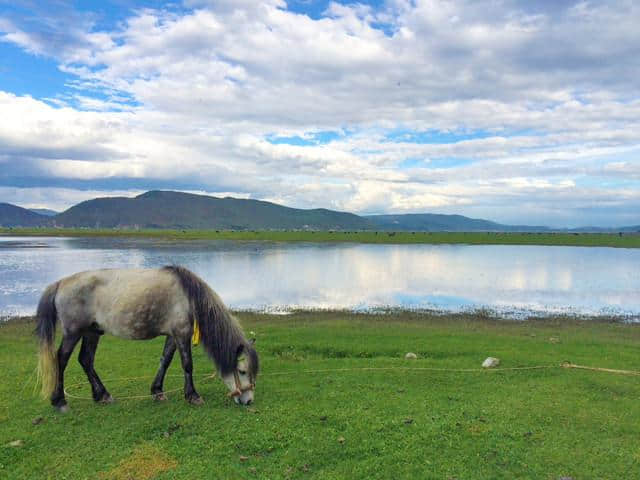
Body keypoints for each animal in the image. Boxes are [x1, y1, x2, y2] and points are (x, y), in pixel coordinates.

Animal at [34, 264, 258, 410]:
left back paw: (102, 395)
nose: (248, 400)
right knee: (61, 360)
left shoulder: (173, 335)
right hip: (73, 333)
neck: (189, 296)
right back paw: (59, 401)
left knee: (86, 360)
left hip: (92, 332)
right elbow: (187, 365)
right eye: (242, 371)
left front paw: (157, 391)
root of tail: (60, 283)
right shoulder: (182, 333)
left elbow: (165, 361)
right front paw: (193, 396)